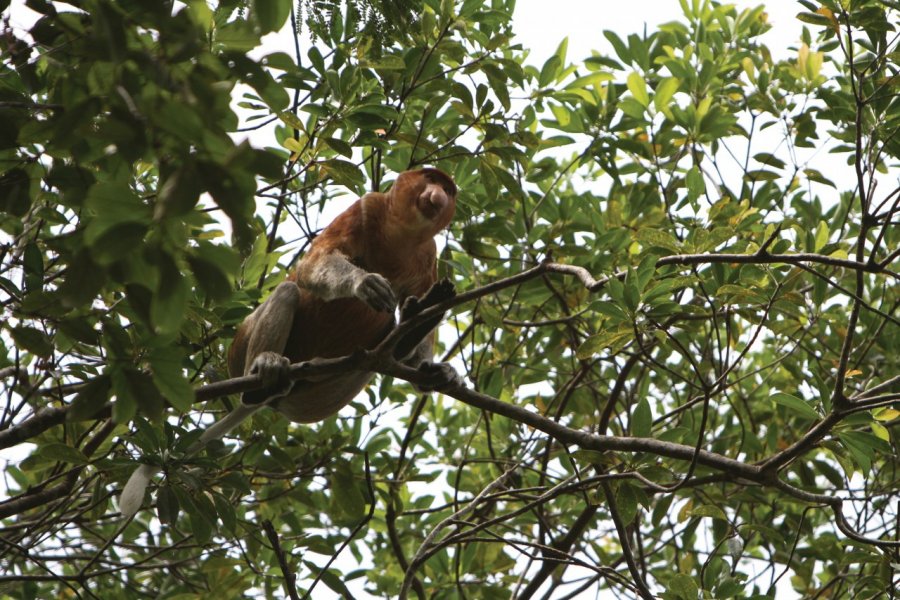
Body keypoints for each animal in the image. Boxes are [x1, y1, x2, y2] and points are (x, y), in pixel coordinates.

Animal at [119, 168, 458, 516]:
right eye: (430, 179)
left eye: (447, 189)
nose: (438, 196)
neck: (402, 233)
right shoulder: (367, 208)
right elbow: (314, 264)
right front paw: (365, 283)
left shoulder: (427, 254)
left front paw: (431, 368)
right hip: (239, 350)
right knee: (287, 291)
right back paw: (263, 374)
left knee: (375, 351)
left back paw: (413, 329)